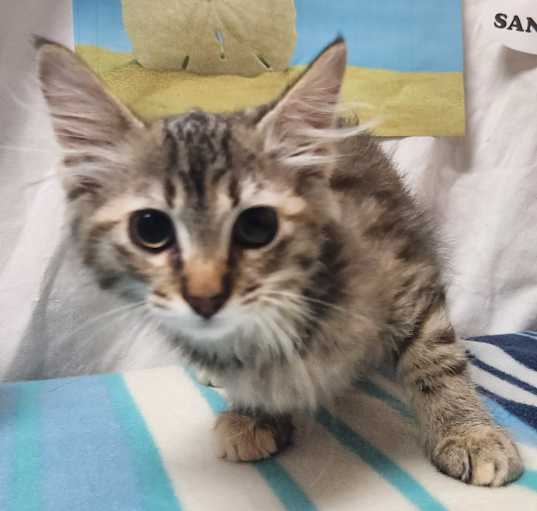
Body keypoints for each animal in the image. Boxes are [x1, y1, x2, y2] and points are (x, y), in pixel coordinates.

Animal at [38, 37, 524, 488]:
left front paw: (467, 432)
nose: (205, 296)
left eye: (257, 225)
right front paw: (256, 414)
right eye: (151, 229)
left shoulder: (405, 265)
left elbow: (436, 355)